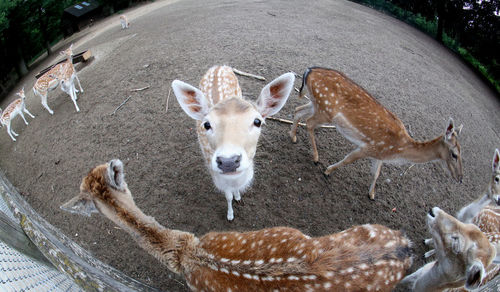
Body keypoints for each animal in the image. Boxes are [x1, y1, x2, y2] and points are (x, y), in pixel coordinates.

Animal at [173, 65, 296, 221]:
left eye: (257, 121)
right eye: (206, 124)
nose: (228, 161)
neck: (235, 180)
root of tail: (218, 66)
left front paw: (238, 197)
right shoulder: (218, 177)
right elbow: (228, 196)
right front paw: (230, 215)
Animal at [290, 66, 464, 200]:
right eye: (454, 154)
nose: (460, 178)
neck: (397, 150)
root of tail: (309, 70)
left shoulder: (379, 154)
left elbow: (376, 173)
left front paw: (372, 195)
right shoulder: (369, 147)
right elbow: (348, 159)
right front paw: (327, 171)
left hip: (316, 104)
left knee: (298, 110)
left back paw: (293, 137)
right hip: (325, 110)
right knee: (309, 123)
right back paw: (315, 157)